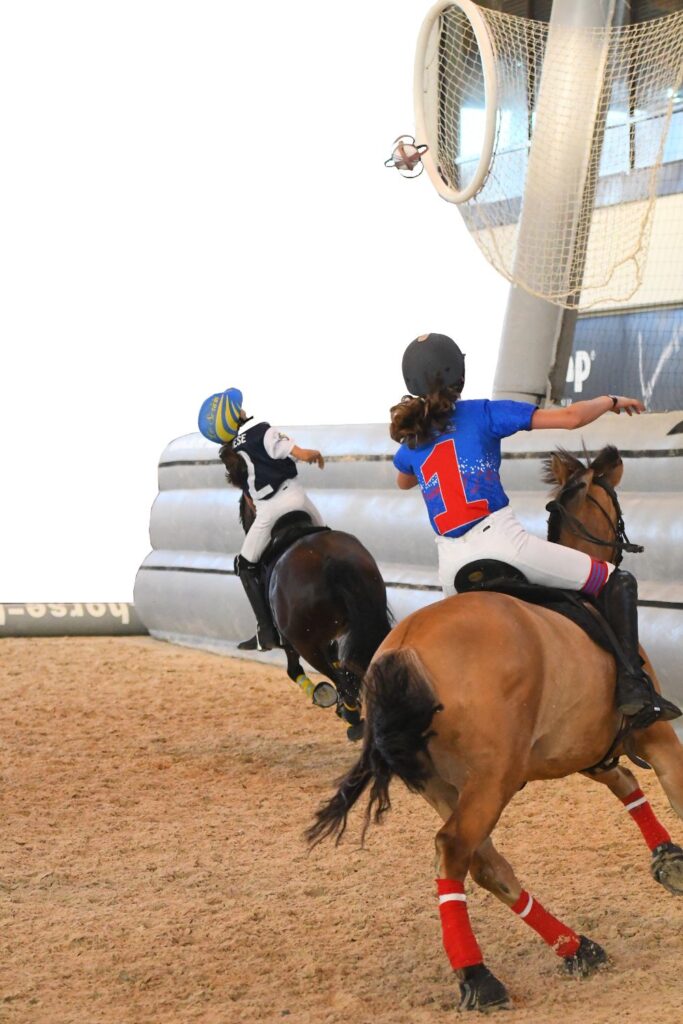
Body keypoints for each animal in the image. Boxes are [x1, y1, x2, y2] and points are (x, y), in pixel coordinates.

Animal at [240, 491, 393, 741]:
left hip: (306, 643)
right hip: (371, 618)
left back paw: (352, 717)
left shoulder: (293, 641)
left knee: (339, 678)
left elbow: (295, 670)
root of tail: (331, 562)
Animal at [309, 446, 683, 1007]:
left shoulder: (582, 747)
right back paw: (478, 975)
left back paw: (576, 947)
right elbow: (673, 787)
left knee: (484, 863)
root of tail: (403, 650)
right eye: (614, 501)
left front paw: (666, 856)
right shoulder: (651, 733)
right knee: (454, 850)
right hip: (491, 779)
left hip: (443, 784)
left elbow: (624, 783)